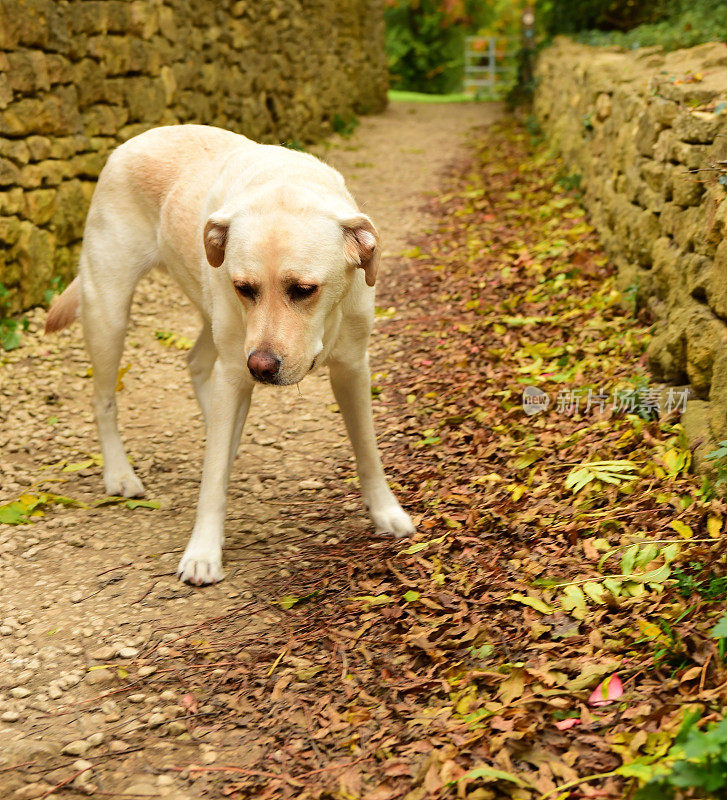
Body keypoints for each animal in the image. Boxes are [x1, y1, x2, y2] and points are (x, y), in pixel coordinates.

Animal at [47, 126, 416, 588]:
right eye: (245, 287)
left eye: (304, 289)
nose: (262, 367)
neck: (283, 183)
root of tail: (137, 137)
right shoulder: (237, 365)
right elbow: (212, 479)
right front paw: (203, 552)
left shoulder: (352, 368)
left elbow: (367, 449)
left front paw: (386, 511)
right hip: (110, 311)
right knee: (104, 399)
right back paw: (119, 473)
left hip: (213, 328)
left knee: (197, 364)